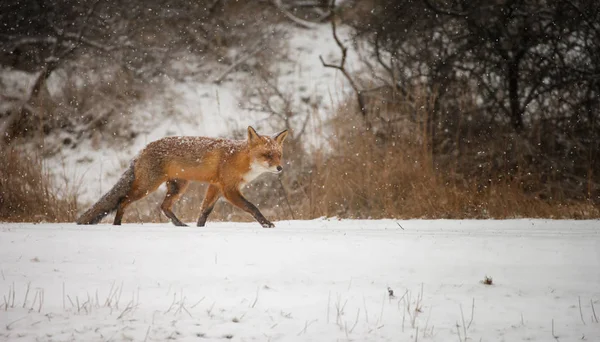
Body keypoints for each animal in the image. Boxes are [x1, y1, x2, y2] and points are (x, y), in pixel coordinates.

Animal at [77, 125, 288, 227]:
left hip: (179, 186)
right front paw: (267, 224)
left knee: (163, 206)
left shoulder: (215, 186)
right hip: (147, 186)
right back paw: (117, 224)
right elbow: (252, 207)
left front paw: (199, 228)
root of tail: (142, 150)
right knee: (122, 201)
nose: (280, 168)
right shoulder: (229, 189)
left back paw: (179, 224)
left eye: (279, 155)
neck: (239, 159)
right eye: (267, 155)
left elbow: (205, 211)